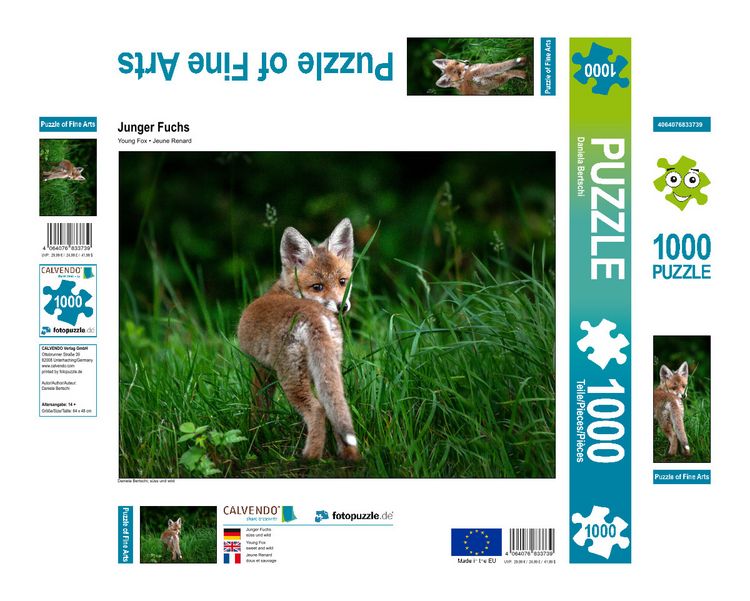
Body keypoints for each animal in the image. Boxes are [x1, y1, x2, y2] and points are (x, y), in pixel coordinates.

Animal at [237, 218, 360, 461]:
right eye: (317, 287)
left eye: (342, 281)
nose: (342, 306)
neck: (285, 290)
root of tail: (313, 315)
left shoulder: (261, 367)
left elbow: (259, 407)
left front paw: (254, 437)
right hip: (326, 371)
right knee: (335, 408)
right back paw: (349, 456)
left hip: (291, 378)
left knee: (317, 410)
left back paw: (310, 458)